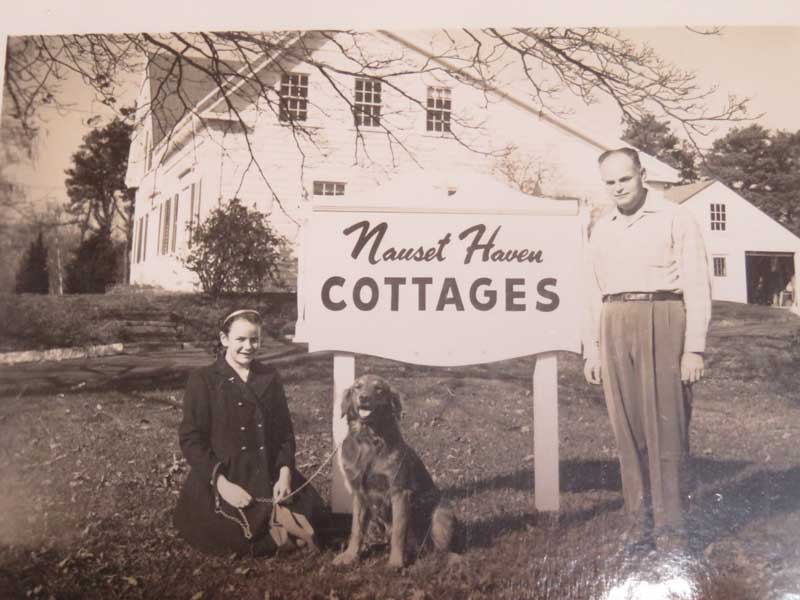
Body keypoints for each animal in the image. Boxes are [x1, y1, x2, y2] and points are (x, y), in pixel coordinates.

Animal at [330, 376, 456, 568]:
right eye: (357, 387)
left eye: (379, 389)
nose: (363, 397)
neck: (368, 440)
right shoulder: (359, 493)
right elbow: (356, 529)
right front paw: (350, 555)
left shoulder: (399, 492)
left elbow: (399, 530)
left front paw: (395, 563)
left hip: (443, 512)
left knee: (441, 549)